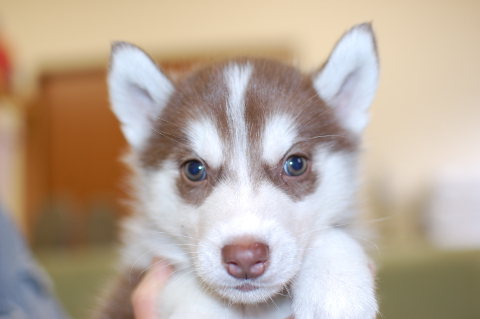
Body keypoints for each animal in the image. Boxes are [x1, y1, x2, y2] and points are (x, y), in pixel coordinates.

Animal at [96, 23, 378, 319]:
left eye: (296, 164)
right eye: (194, 169)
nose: (245, 257)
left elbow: (332, 234)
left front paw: (335, 286)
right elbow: (184, 285)